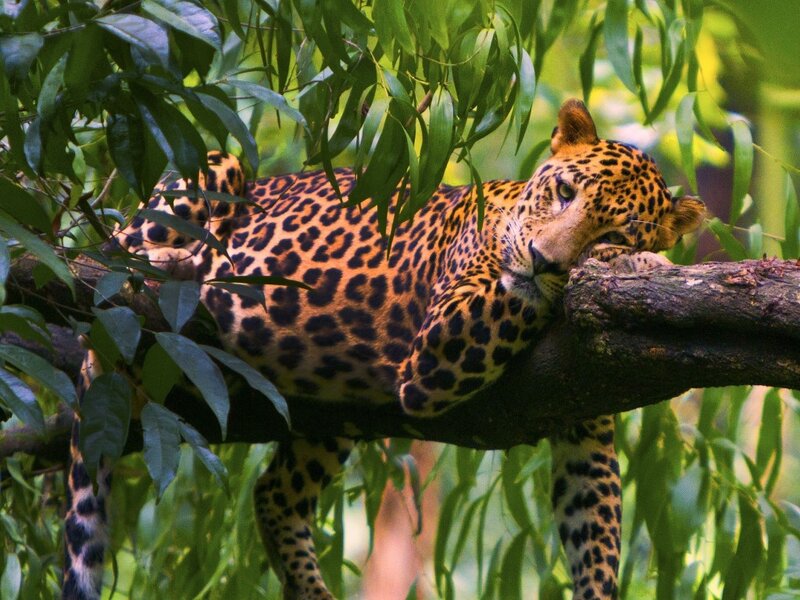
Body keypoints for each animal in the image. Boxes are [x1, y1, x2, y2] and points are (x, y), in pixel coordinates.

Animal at [62, 99, 705, 600]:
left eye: (614, 227)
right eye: (565, 191)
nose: (543, 260)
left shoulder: (584, 423)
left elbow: (596, 536)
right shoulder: (444, 341)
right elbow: (517, 295)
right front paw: (636, 265)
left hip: (329, 410)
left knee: (273, 494)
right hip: (211, 170)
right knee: (106, 256)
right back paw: (176, 264)